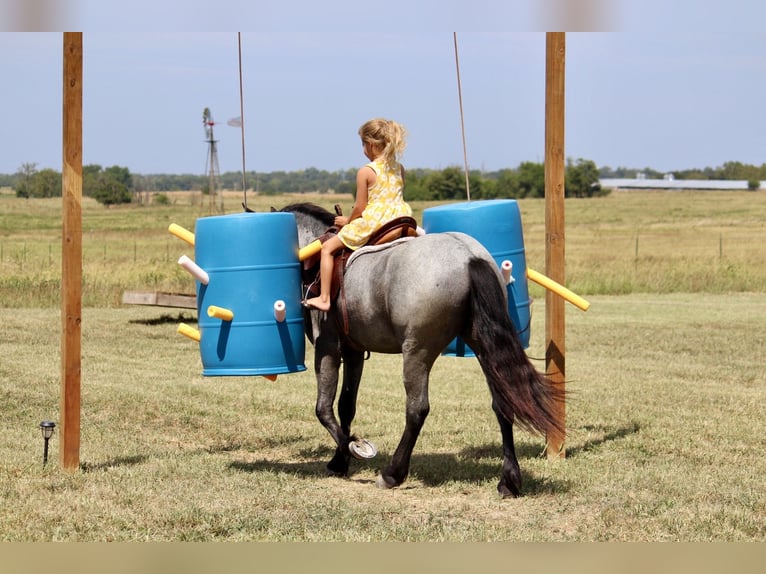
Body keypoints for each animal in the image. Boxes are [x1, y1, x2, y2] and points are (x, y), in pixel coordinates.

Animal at [279, 202, 565, 497]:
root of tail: (469, 257)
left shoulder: (328, 348)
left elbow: (323, 408)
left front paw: (349, 451)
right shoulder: (354, 351)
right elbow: (347, 406)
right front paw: (341, 459)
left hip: (417, 351)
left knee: (417, 409)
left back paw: (392, 473)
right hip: (484, 345)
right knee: (503, 401)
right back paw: (508, 480)